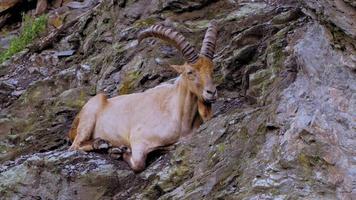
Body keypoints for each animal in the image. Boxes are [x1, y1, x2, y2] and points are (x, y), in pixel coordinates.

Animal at [67, 21, 217, 172]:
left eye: (212, 69)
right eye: (189, 72)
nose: (211, 92)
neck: (179, 118)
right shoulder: (138, 138)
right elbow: (138, 163)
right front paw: (122, 152)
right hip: (89, 116)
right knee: (74, 146)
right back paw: (104, 145)